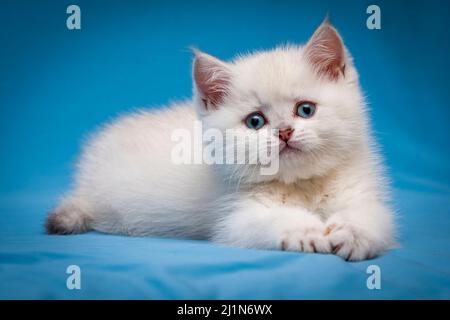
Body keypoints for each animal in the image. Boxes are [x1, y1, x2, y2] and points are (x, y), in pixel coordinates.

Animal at [47, 19, 396, 260]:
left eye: (305, 110)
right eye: (255, 121)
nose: (284, 132)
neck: (302, 184)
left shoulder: (361, 193)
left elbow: (373, 215)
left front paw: (354, 234)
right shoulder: (233, 217)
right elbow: (269, 220)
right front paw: (306, 230)